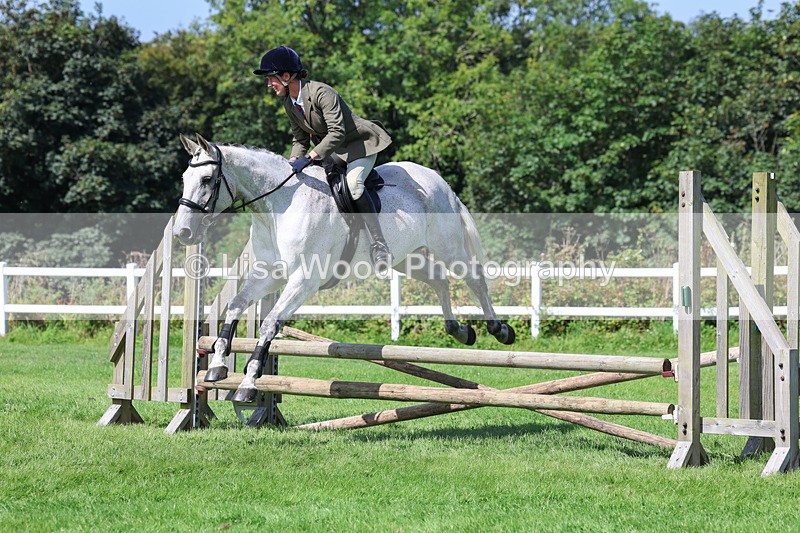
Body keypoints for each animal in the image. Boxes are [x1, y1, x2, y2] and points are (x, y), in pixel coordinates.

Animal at [174, 133, 515, 402]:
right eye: (184, 179)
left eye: (207, 180)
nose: (182, 233)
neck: (278, 206)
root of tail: (440, 182)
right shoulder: (269, 274)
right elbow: (234, 305)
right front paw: (217, 365)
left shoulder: (304, 280)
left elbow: (270, 324)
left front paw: (247, 384)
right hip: (406, 258)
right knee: (439, 280)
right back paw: (458, 331)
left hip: (448, 247)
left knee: (474, 278)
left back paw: (499, 330)